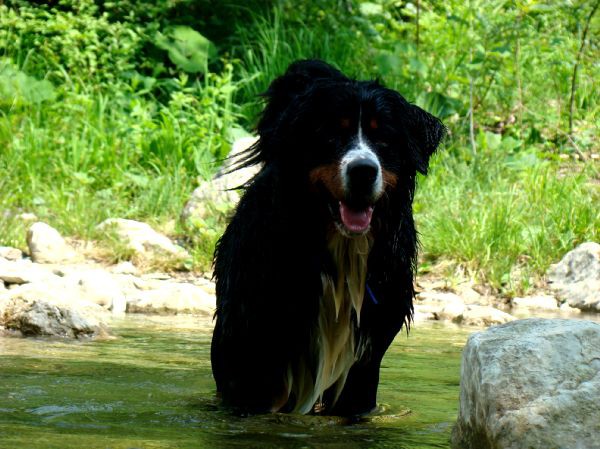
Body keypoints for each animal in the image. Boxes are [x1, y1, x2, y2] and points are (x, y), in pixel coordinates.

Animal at [211, 59, 446, 416]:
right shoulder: (253, 352)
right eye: (333, 132)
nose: (363, 171)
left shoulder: (364, 360)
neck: (342, 248)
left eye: (383, 137)